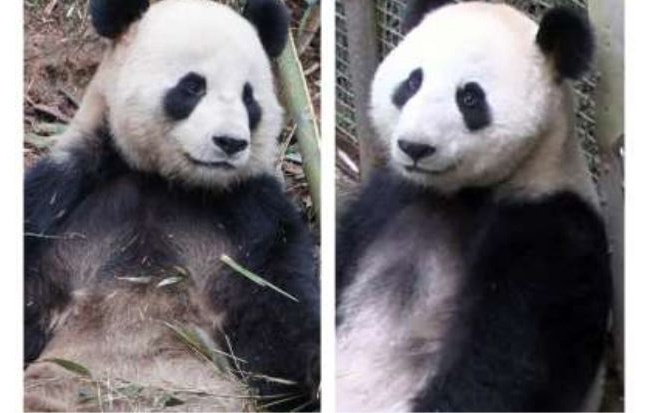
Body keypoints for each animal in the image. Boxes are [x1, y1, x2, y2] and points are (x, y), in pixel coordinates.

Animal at [24, 0, 319, 411]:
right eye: (193, 86)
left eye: (249, 97)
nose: (230, 142)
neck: (169, 181)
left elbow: (279, 309)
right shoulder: (61, 197)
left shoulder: (253, 213)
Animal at [336, 1, 612, 411]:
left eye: (469, 98)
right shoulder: (385, 200)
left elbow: (502, 367)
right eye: (412, 83)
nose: (415, 147)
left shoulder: (551, 234)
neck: (461, 194)